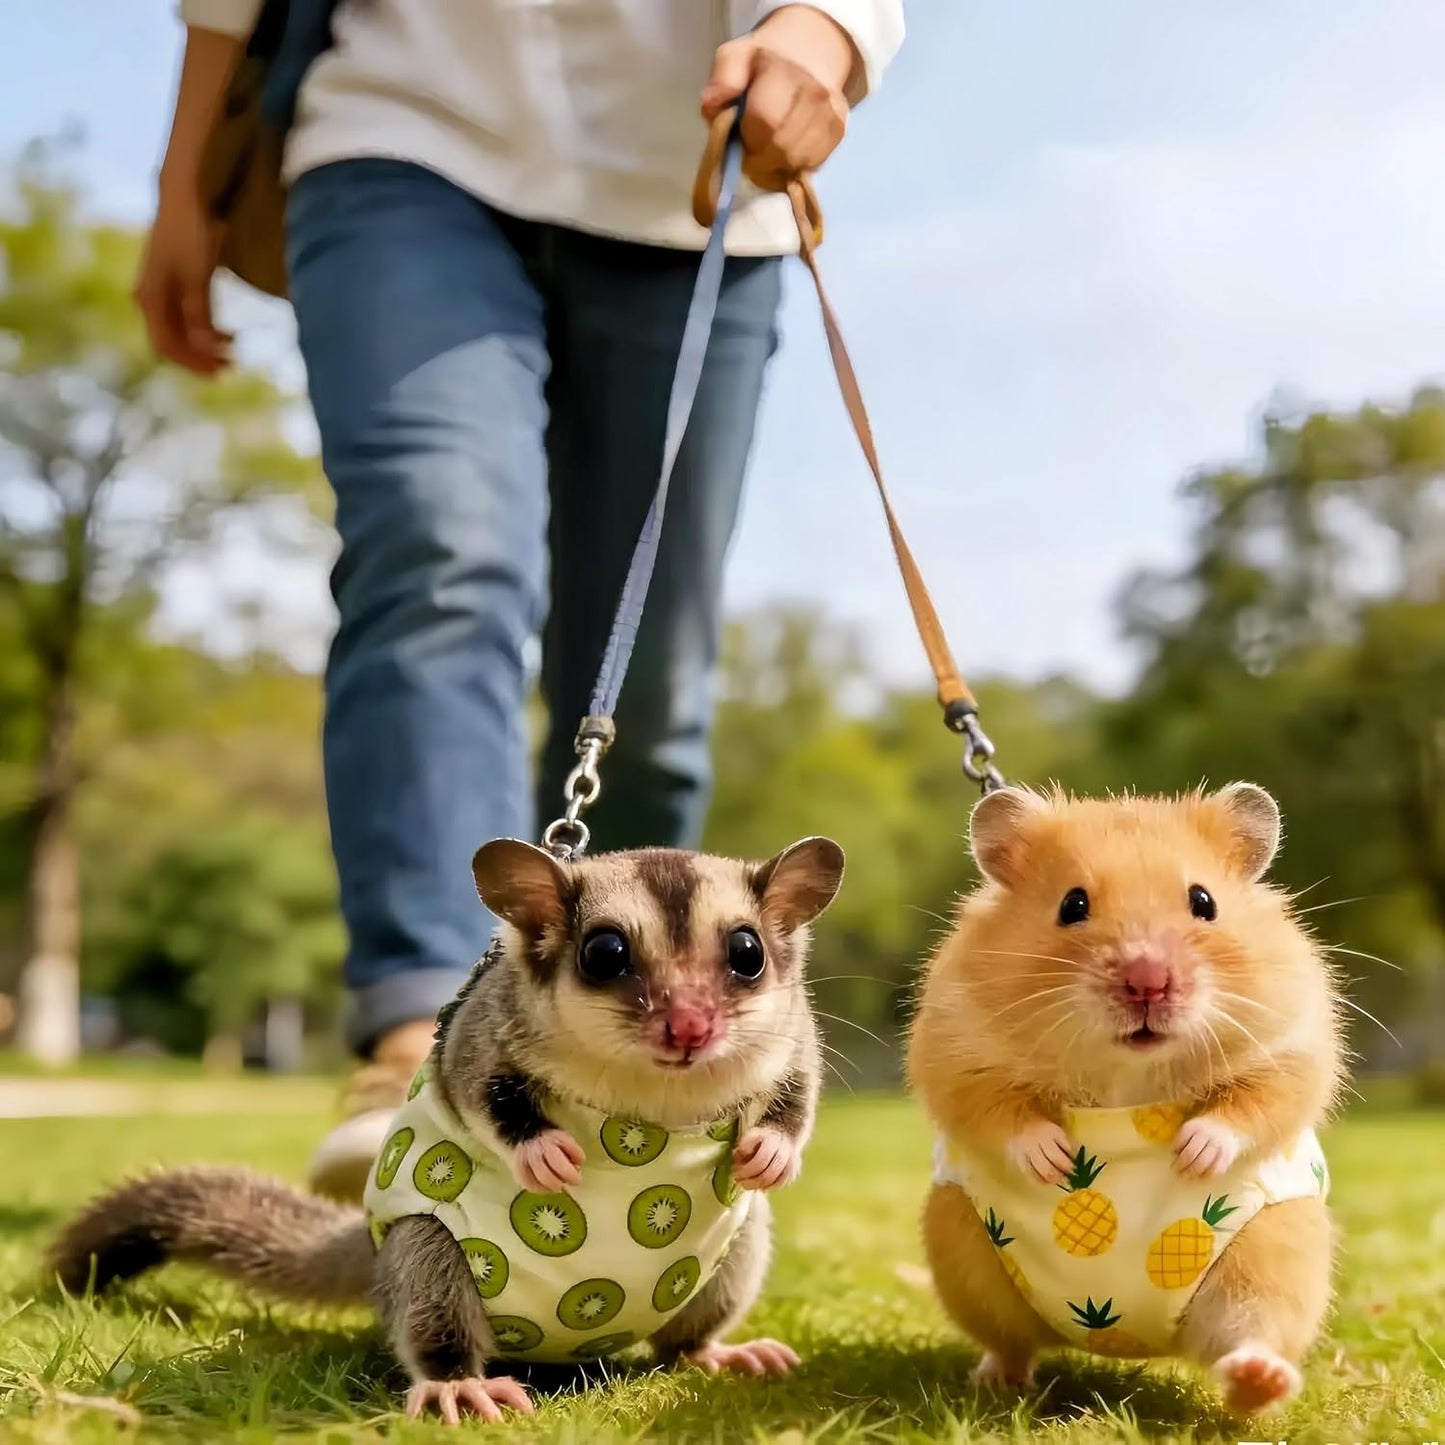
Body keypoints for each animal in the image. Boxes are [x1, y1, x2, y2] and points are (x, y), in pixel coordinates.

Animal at [48, 835, 845, 1425]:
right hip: (425, 1247)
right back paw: (456, 1382)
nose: (689, 1028)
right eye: (604, 953)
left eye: (747, 953)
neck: (655, 1091)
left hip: (733, 1246)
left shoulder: (793, 1033)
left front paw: (772, 1152)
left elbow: (799, 1084)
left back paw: (713, 1353)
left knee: (686, 1330)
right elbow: (477, 1088)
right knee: (434, 1306)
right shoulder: (479, 1033)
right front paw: (542, 1153)